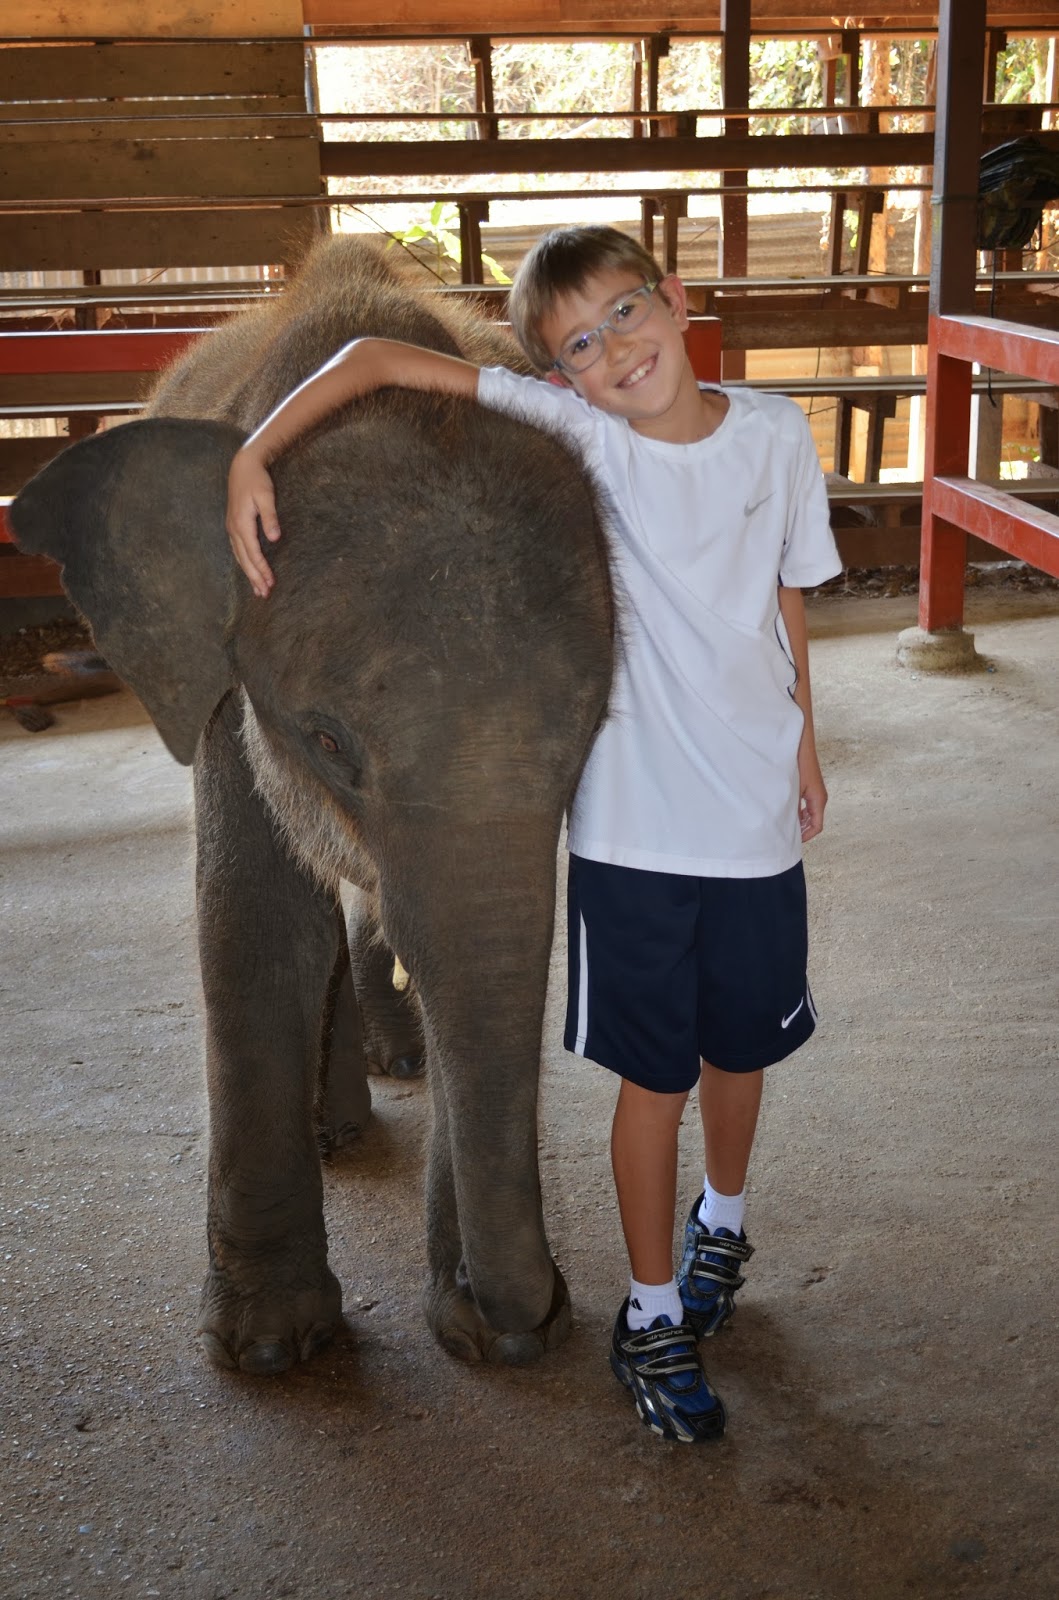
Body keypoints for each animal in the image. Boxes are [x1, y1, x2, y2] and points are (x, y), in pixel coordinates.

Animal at [11, 237, 615, 1375]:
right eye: (327, 740)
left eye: (595, 737)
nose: (538, 1316)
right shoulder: (226, 687)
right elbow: (256, 922)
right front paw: (269, 1350)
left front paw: (469, 1325)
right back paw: (338, 1129)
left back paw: (392, 1068)